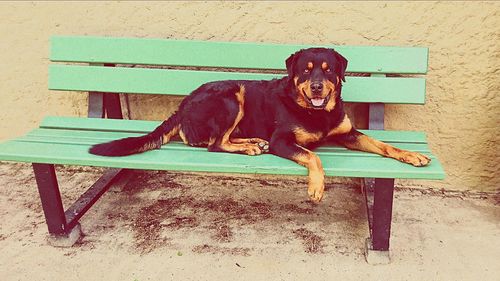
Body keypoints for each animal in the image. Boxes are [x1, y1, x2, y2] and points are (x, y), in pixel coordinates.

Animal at [91, 47, 430, 201]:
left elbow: (383, 144)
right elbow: (314, 156)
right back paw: (251, 147)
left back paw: (253, 143)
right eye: (305, 70)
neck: (316, 112)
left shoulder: (349, 134)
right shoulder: (283, 140)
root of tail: (183, 105)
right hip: (232, 95)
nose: (317, 87)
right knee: (215, 144)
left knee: (223, 140)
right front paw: (316, 186)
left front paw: (412, 154)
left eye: (328, 70)